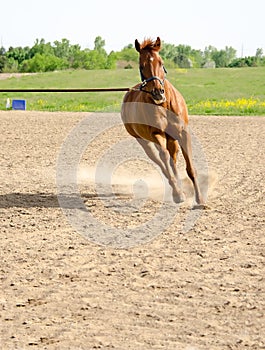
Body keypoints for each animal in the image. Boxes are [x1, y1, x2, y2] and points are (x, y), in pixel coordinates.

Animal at [120, 36, 203, 205]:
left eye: (161, 62)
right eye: (141, 66)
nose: (158, 92)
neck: (164, 105)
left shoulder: (183, 133)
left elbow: (190, 167)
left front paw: (200, 198)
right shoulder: (157, 134)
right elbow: (164, 158)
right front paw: (178, 194)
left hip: (172, 139)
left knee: (172, 160)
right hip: (144, 141)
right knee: (161, 160)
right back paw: (177, 190)